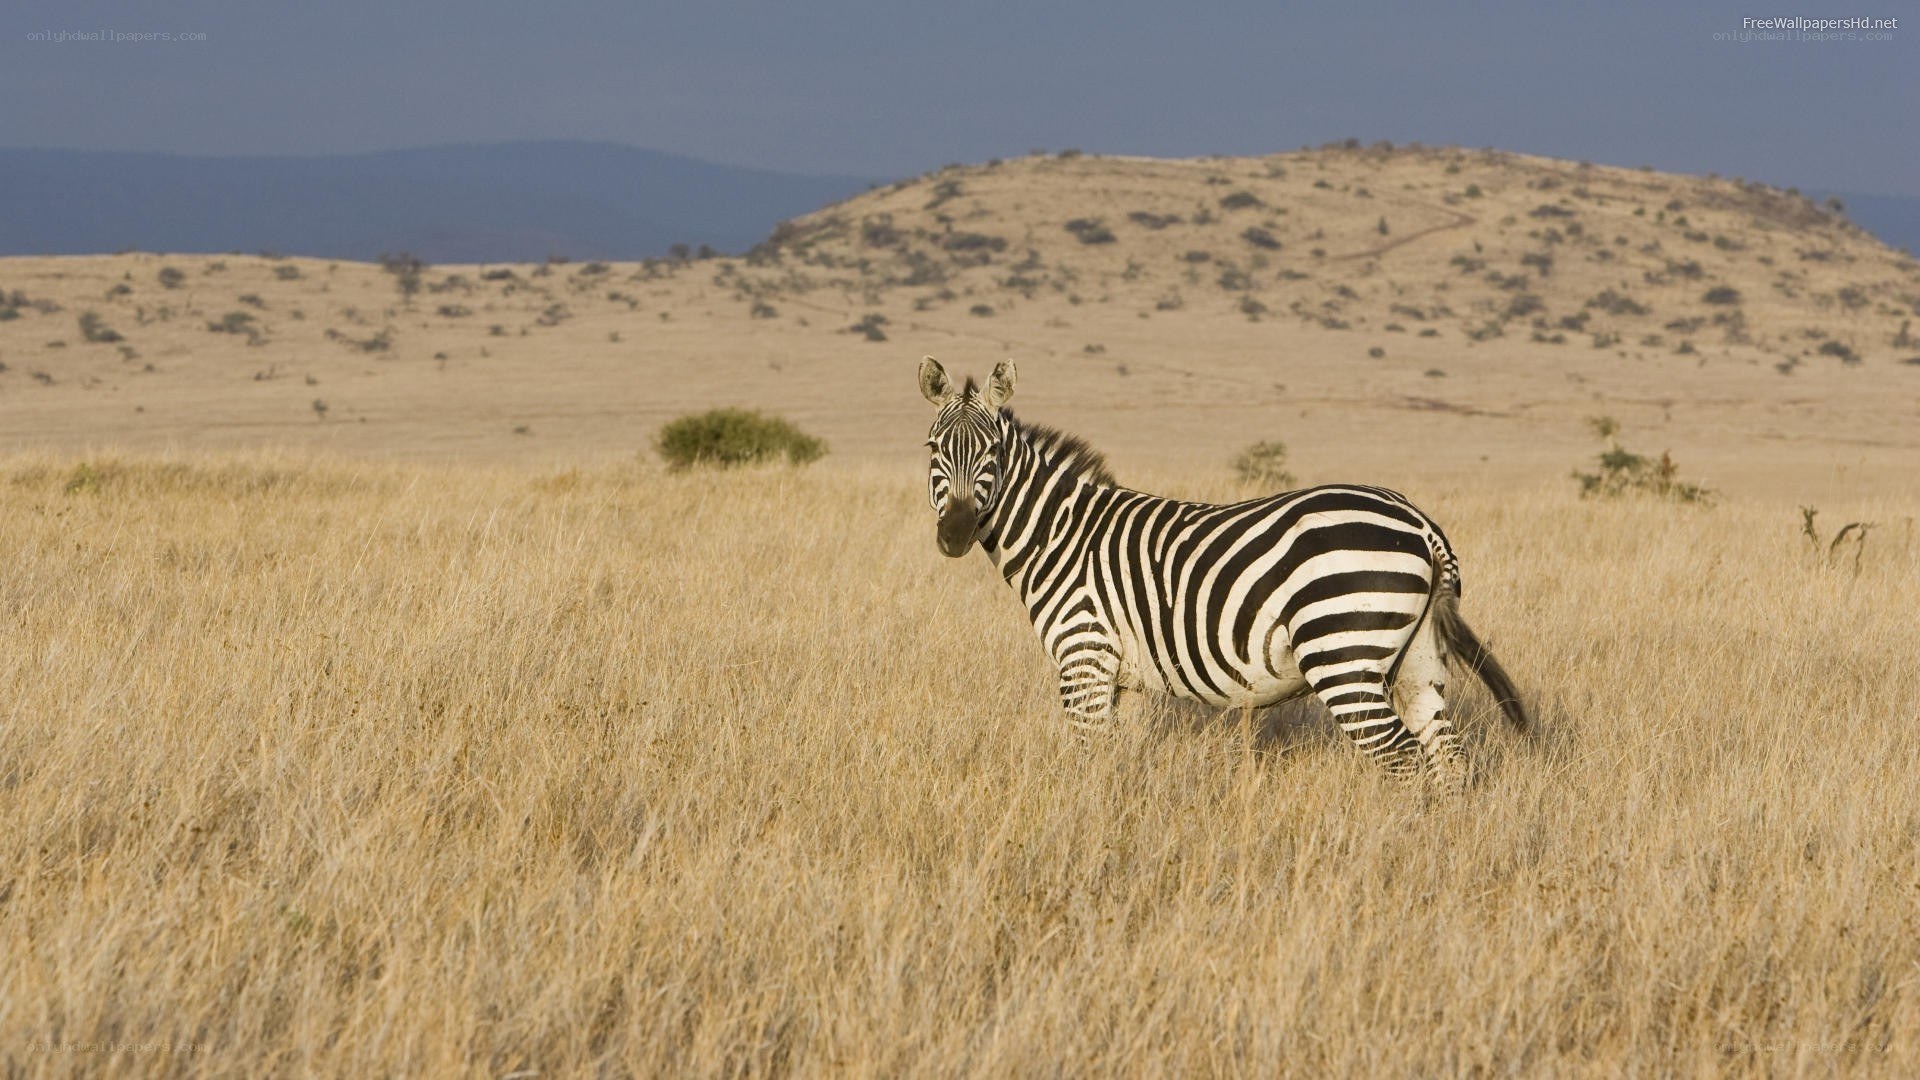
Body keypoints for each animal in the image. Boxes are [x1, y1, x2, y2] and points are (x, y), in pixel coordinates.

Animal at [918, 356, 1528, 788]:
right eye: (932, 448)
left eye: (993, 452)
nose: (955, 534)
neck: (1063, 535)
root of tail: (1420, 522)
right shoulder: (1125, 678)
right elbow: (1118, 762)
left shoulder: (1083, 658)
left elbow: (1087, 761)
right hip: (1417, 659)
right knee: (1446, 755)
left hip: (1343, 653)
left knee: (1400, 757)